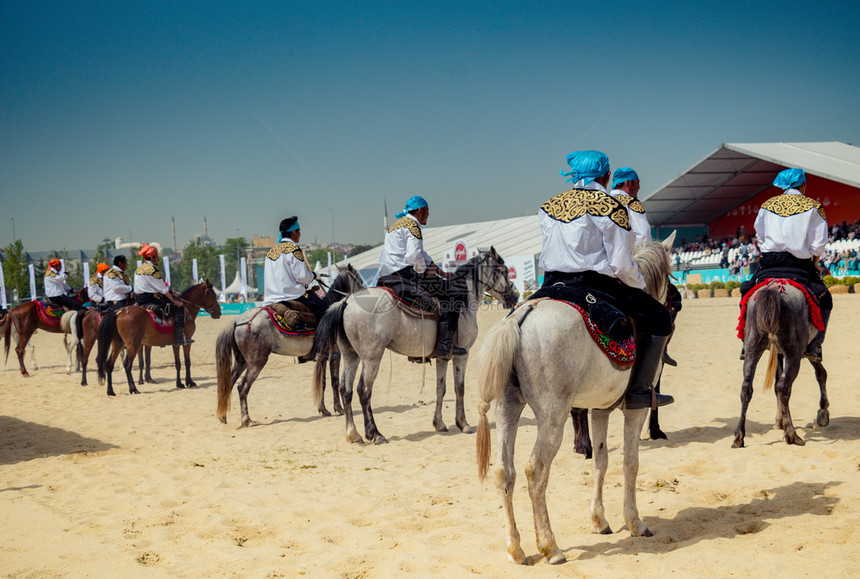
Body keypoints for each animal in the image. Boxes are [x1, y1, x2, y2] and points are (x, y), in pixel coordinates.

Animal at [94, 282, 222, 398]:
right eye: (214, 295)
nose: (219, 312)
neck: (187, 309)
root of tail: (119, 312)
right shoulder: (187, 342)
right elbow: (187, 362)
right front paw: (189, 382)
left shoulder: (176, 344)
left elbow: (178, 363)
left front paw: (179, 384)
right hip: (132, 345)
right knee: (127, 365)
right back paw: (133, 389)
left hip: (118, 344)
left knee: (109, 364)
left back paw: (110, 391)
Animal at [217, 266, 364, 428]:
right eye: (360, 280)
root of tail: (238, 321)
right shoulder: (335, 354)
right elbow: (333, 382)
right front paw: (337, 408)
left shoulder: (324, 356)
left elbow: (324, 383)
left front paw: (324, 409)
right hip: (257, 362)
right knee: (242, 387)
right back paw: (246, 419)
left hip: (242, 361)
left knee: (228, 384)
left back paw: (223, 416)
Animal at [314, 248, 520, 444]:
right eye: (504, 270)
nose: (515, 296)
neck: (464, 302)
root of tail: (347, 301)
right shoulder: (462, 354)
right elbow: (459, 388)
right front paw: (463, 423)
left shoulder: (443, 357)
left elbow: (441, 388)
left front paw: (439, 423)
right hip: (371, 357)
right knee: (363, 390)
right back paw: (375, 433)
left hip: (351, 356)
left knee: (345, 390)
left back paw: (353, 433)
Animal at [474, 236, 676, 568]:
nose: (673, 306)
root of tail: (520, 319)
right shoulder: (636, 408)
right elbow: (630, 462)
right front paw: (635, 522)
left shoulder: (600, 409)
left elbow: (600, 461)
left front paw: (599, 521)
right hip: (552, 417)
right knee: (535, 471)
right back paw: (550, 547)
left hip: (507, 408)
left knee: (505, 472)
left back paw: (516, 549)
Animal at [728, 280, 828, 448]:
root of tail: (773, 290)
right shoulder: (804, 350)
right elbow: (821, 374)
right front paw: (823, 411)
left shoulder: (778, 353)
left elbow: (776, 383)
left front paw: (780, 420)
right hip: (794, 354)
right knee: (784, 387)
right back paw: (792, 434)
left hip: (752, 348)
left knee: (746, 388)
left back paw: (739, 437)